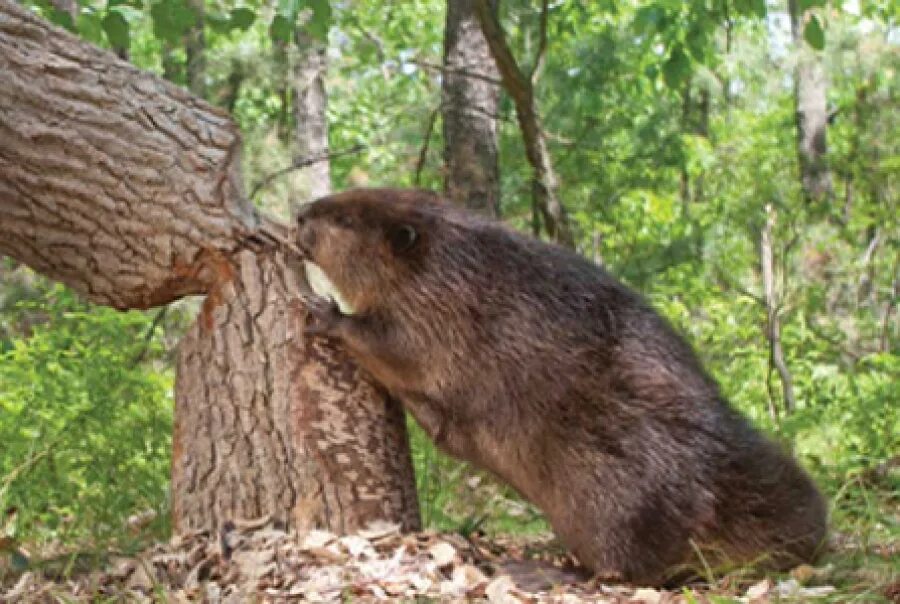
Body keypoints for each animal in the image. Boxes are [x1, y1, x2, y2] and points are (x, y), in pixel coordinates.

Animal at [292, 189, 828, 584]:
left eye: (342, 217)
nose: (300, 213)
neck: (447, 262)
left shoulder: (440, 313)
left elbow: (393, 345)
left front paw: (323, 312)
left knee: (627, 570)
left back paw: (539, 568)